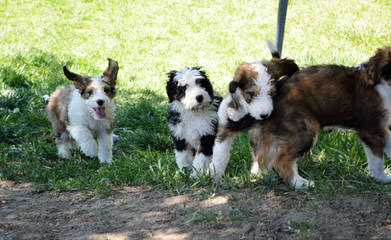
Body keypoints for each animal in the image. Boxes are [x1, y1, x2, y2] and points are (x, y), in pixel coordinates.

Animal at [210, 43, 298, 178]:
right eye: (252, 94)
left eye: (272, 93)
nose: (264, 115)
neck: (247, 113)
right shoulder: (225, 125)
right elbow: (220, 153)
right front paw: (214, 174)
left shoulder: (260, 130)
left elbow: (260, 152)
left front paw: (258, 172)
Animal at [248, 47, 391, 188]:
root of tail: (276, 88)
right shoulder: (372, 130)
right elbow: (377, 161)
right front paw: (382, 178)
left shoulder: (381, 128)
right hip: (304, 131)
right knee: (281, 159)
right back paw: (299, 183)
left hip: (273, 132)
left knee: (262, 156)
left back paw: (264, 176)